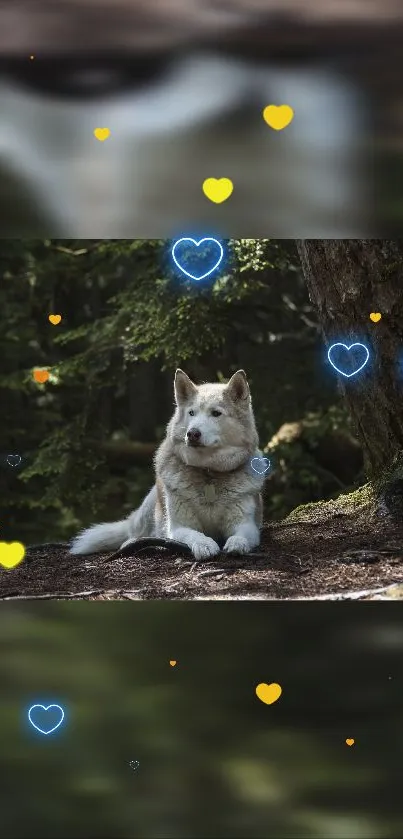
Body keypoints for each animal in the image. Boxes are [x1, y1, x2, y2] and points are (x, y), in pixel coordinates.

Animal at [70, 370, 266, 560]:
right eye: (192, 413)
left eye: (216, 413)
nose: (192, 433)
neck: (208, 473)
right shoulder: (178, 527)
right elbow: (195, 535)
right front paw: (205, 545)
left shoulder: (246, 524)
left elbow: (240, 536)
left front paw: (237, 544)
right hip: (150, 506)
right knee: (134, 534)